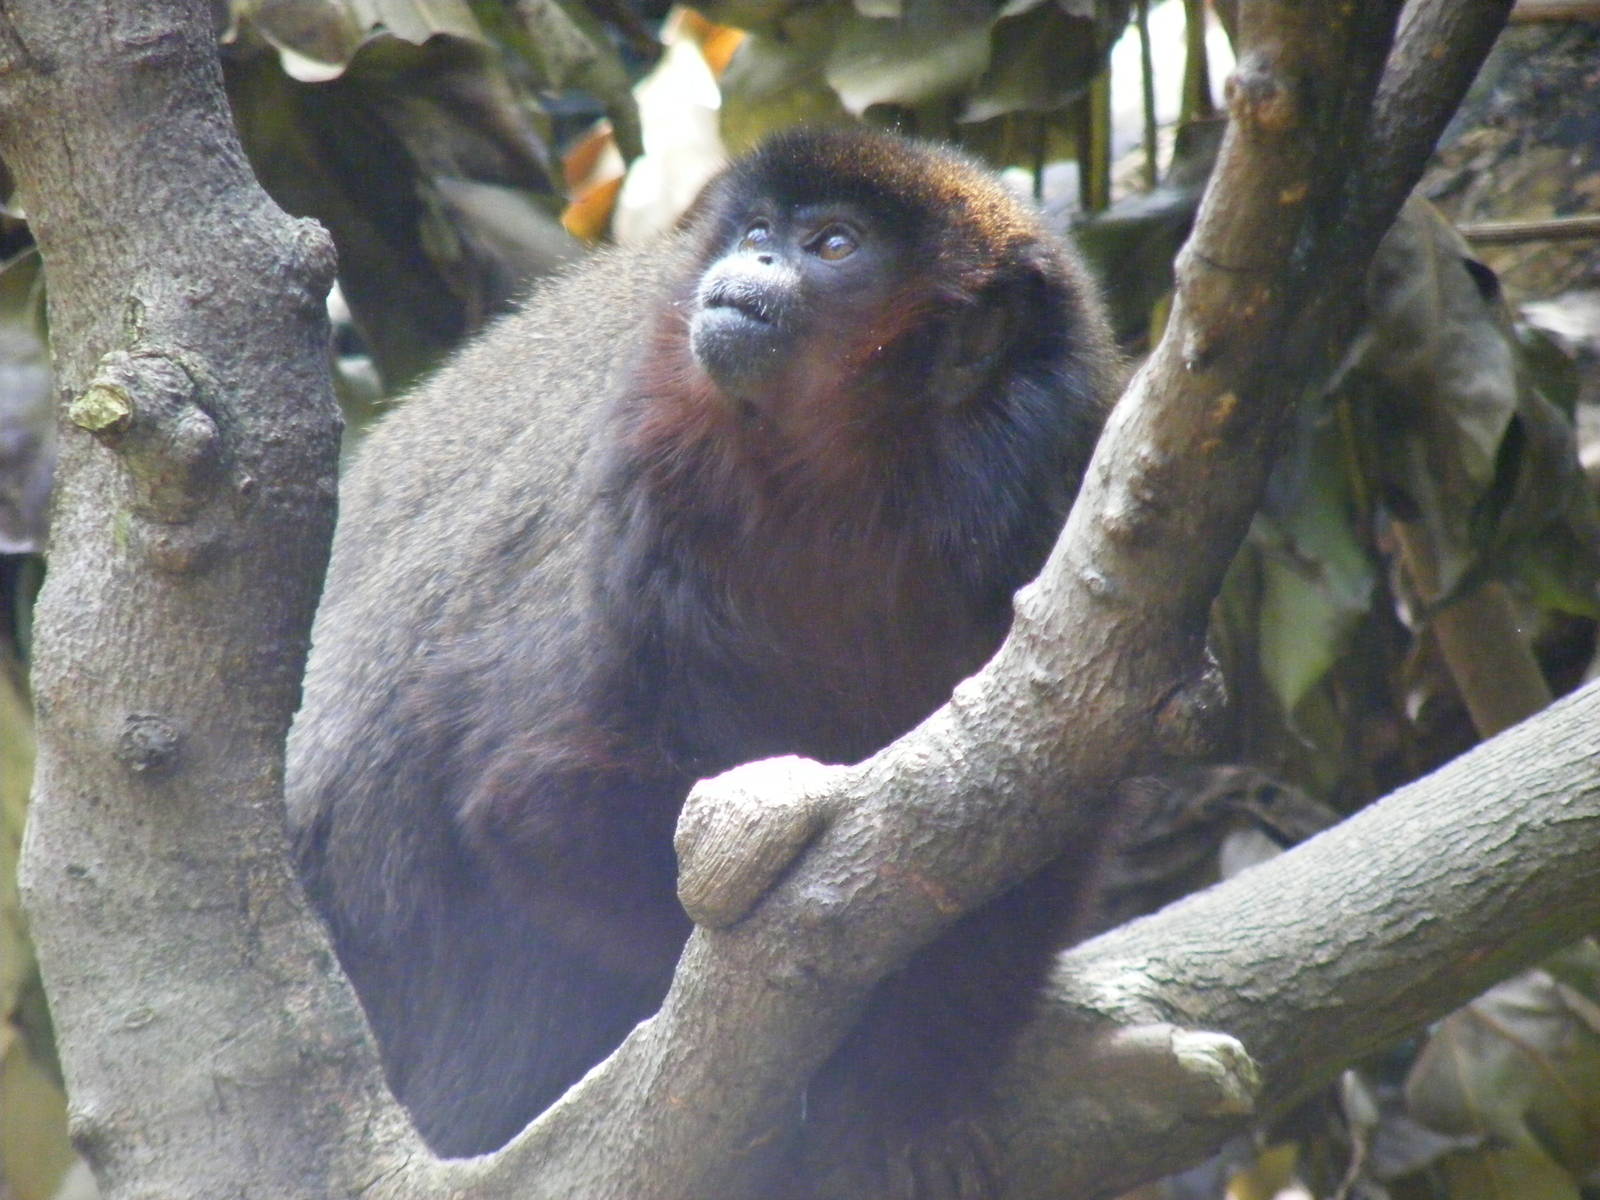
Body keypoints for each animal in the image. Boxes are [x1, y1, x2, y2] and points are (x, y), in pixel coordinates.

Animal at [286, 125, 1122, 1195]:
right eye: (760, 229)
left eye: (833, 244)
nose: (754, 259)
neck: (864, 487)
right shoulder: (649, 492)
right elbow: (537, 801)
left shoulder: (1057, 483)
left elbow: (1041, 833)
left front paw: (912, 1098)